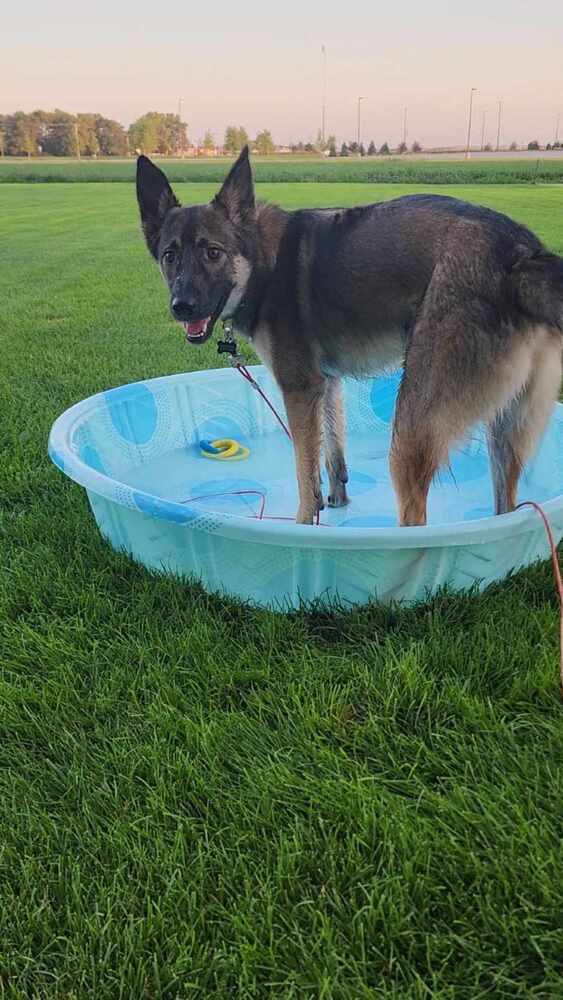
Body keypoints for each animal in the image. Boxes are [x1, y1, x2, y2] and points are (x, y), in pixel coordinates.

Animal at [137, 147, 563, 528]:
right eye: (170, 256)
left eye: (213, 252)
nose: (182, 306)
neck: (261, 262)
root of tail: (521, 253)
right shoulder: (326, 384)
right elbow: (332, 452)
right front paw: (338, 501)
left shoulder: (299, 388)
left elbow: (304, 475)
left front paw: (305, 526)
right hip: (505, 431)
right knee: (505, 507)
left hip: (411, 427)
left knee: (416, 520)